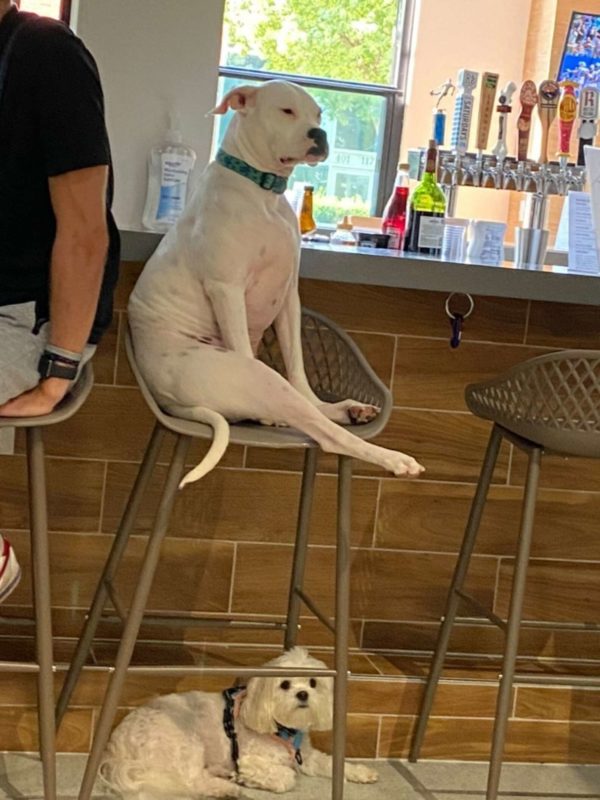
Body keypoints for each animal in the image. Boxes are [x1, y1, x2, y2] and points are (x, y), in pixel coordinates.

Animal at [100, 648, 378, 796]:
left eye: (313, 682)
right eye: (284, 684)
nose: (302, 694)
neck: (283, 730)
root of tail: (115, 745)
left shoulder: (305, 756)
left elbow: (329, 762)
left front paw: (360, 772)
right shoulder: (249, 759)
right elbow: (287, 777)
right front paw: (249, 779)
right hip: (186, 743)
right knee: (192, 781)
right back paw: (228, 787)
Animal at [129, 79, 424, 488]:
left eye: (318, 114)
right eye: (286, 111)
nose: (319, 134)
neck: (263, 192)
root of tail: (166, 398)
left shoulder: (287, 298)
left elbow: (298, 366)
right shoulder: (227, 289)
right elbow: (245, 340)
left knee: (306, 406)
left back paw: (344, 410)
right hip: (257, 376)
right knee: (326, 435)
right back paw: (392, 457)